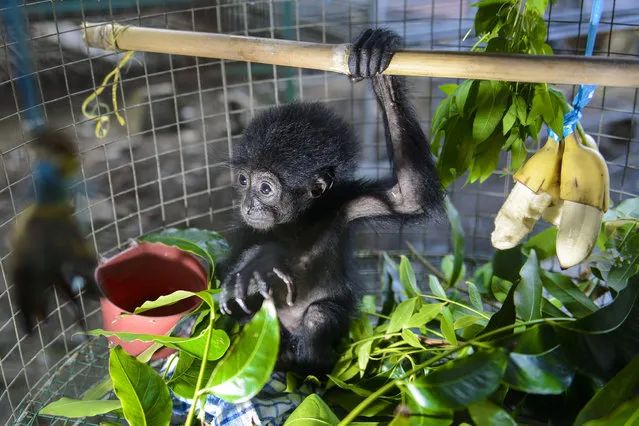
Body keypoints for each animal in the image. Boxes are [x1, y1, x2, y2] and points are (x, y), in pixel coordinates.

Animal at [218, 29, 442, 376]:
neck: (296, 224)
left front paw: (377, 62)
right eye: (244, 181)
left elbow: (409, 197)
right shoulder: (246, 230)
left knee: (319, 315)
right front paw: (260, 260)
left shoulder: (342, 205)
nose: (249, 206)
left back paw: (309, 369)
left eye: (265, 188)